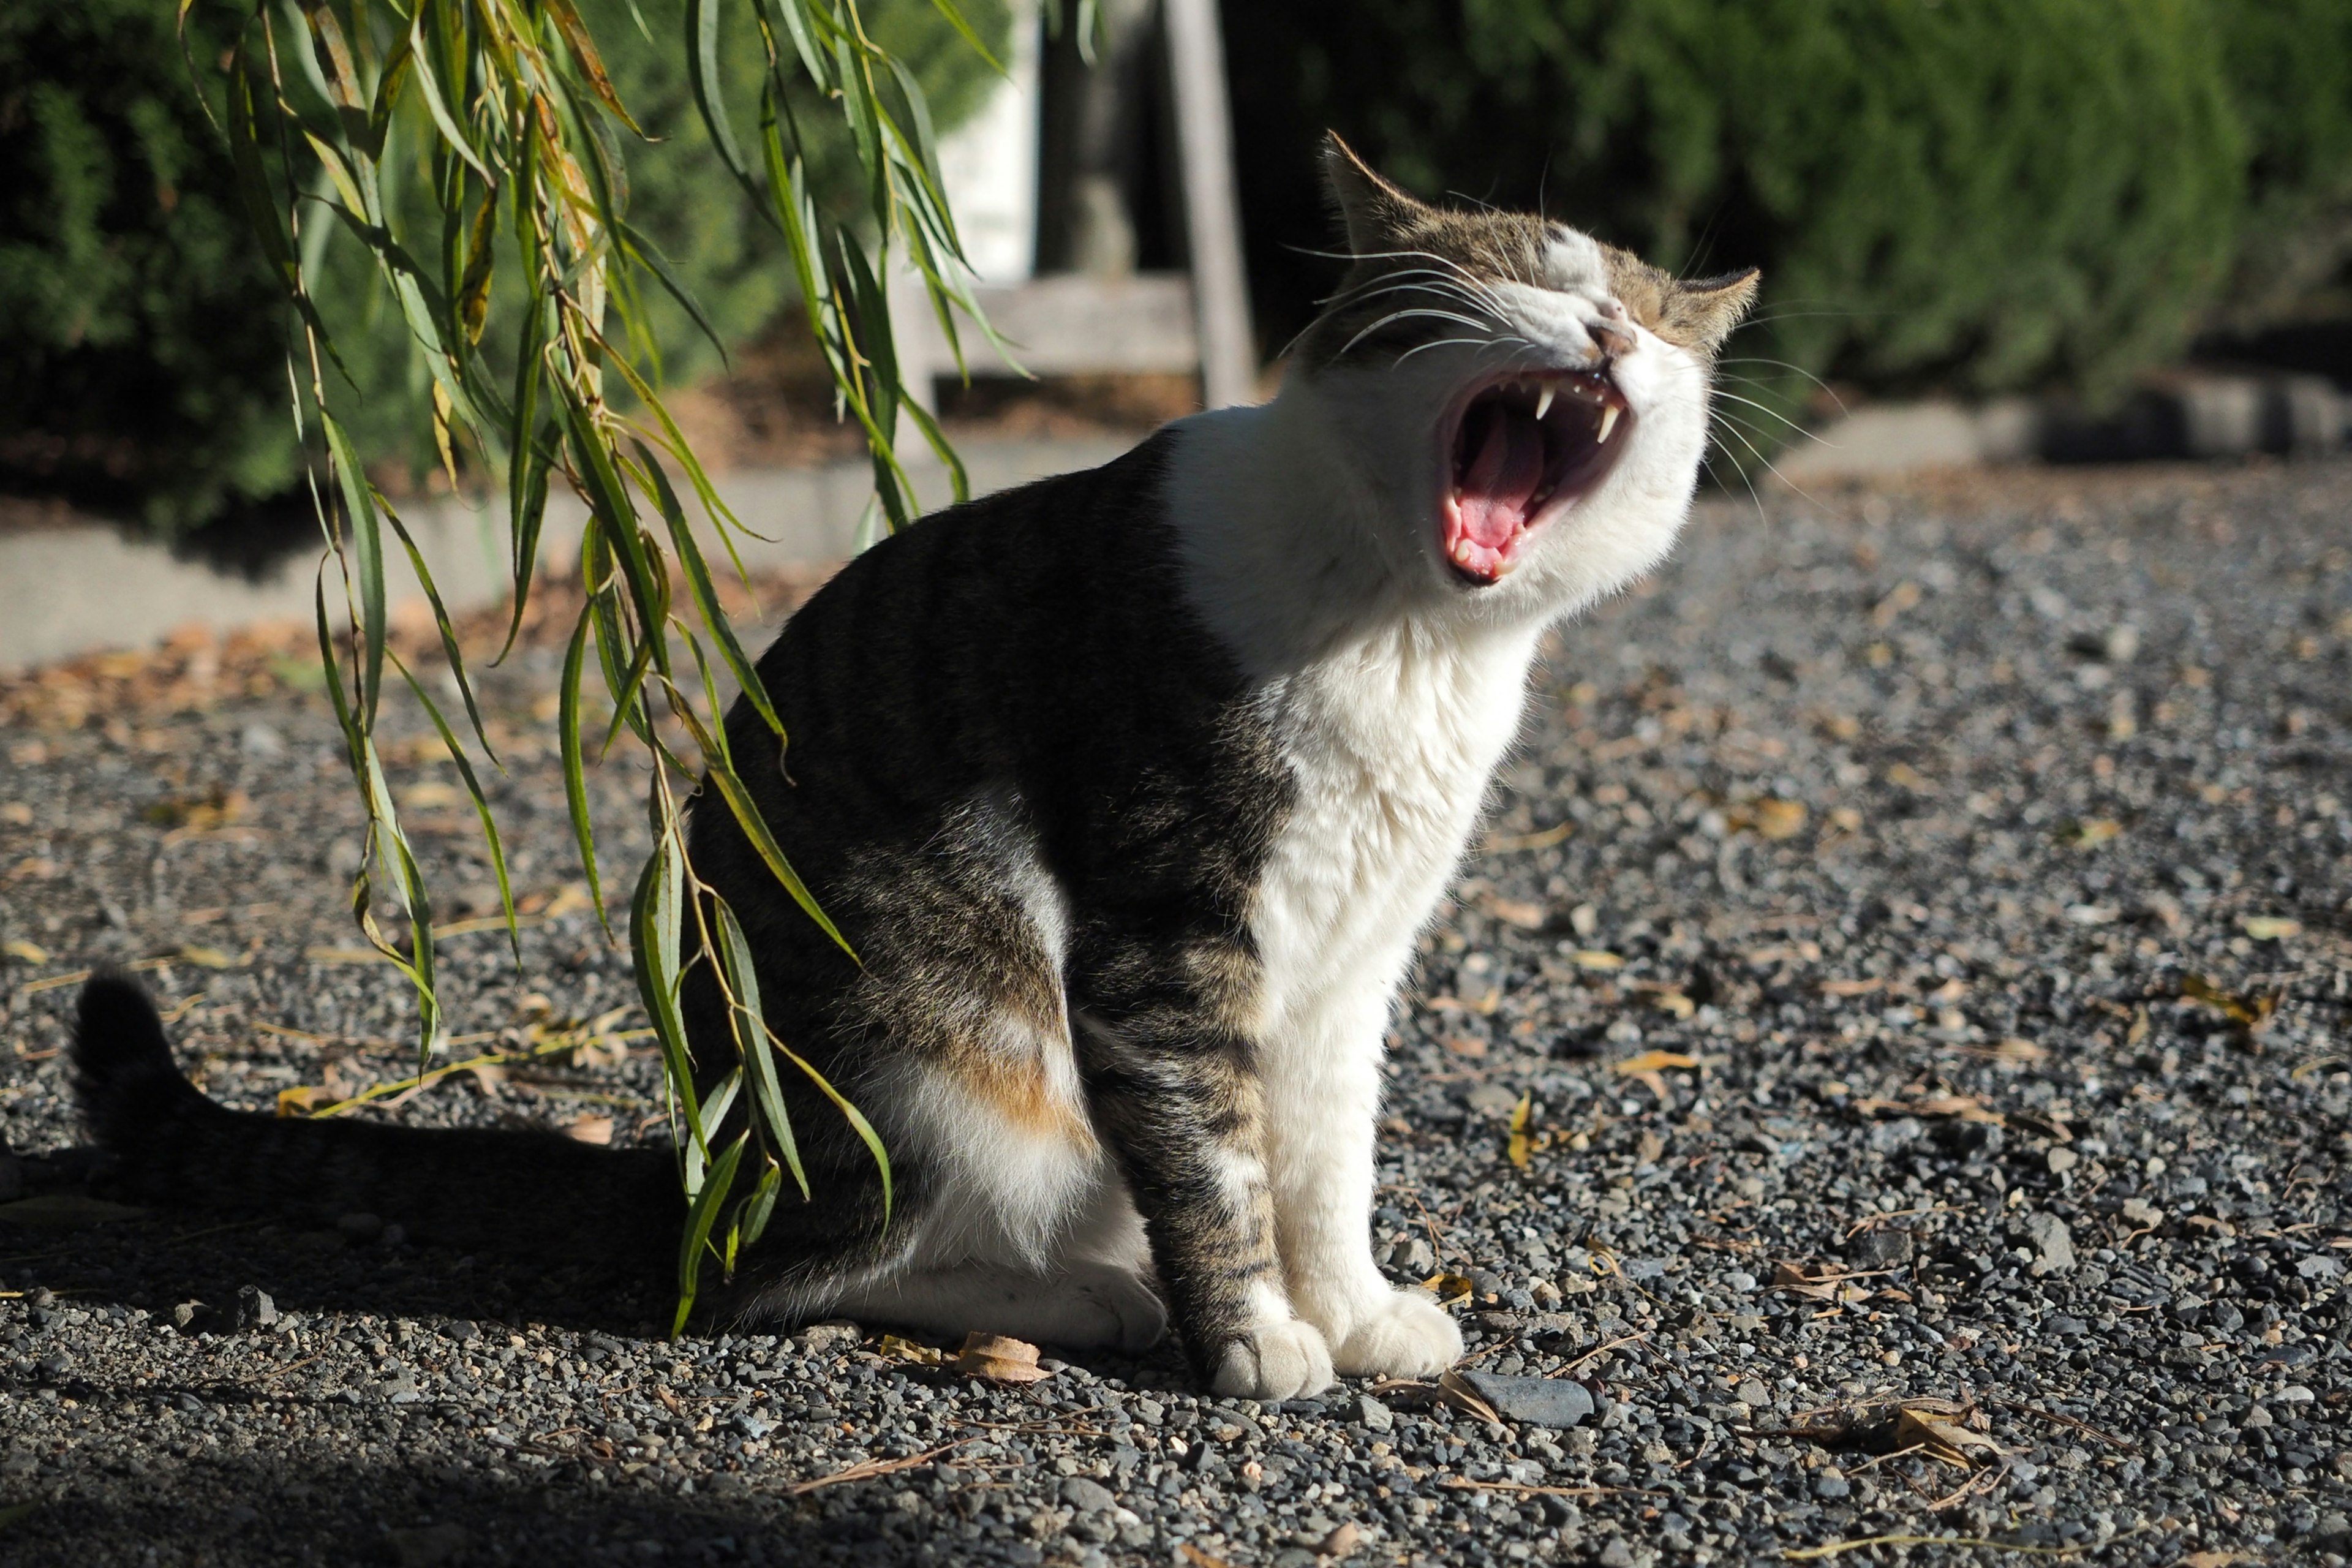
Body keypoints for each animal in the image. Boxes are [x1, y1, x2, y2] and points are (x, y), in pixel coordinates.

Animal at [69, 135, 1749, 1401]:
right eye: (1518, 278)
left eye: (1647, 315)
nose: (1607, 337)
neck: (1405, 631)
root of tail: (707, 1165)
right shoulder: (1166, 922)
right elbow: (1213, 1149)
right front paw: (1258, 1335)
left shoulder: (1350, 953)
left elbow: (1324, 1146)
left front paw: (1349, 1305)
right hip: (933, 1043)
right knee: (790, 1278)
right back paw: (1081, 1296)